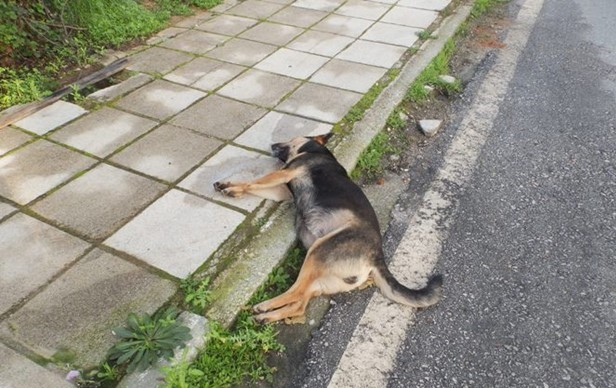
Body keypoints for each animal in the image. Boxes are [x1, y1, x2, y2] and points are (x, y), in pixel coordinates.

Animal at [213, 135, 442, 322]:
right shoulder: (281, 190)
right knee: (300, 305)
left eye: (290, 139)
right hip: (323, 279)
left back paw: (265, 307)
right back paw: (269, 317)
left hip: (318, 252)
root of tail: (376, 256)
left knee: (296, 293)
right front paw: (229, 187)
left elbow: (253, 182)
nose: (272, 144)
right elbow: (254, 186)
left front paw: (231, 188)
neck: (316, 150)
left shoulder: (285, 173)